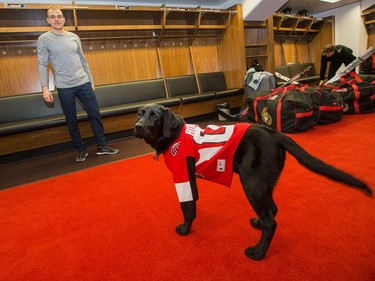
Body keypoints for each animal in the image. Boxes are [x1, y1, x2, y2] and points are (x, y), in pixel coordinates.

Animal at [134, 103, 372, 260]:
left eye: (155, 116)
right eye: (140, 114)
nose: (137, 126)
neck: (173, 136)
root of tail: (276, 133)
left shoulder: (182, 178)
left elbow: (188, 208)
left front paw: (184, 229)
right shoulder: (190, 179)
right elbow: (193, 202)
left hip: (252, 184)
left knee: (271, 221)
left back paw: (258, 253)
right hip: (263, 184)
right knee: (272, 210)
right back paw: (258, 225)